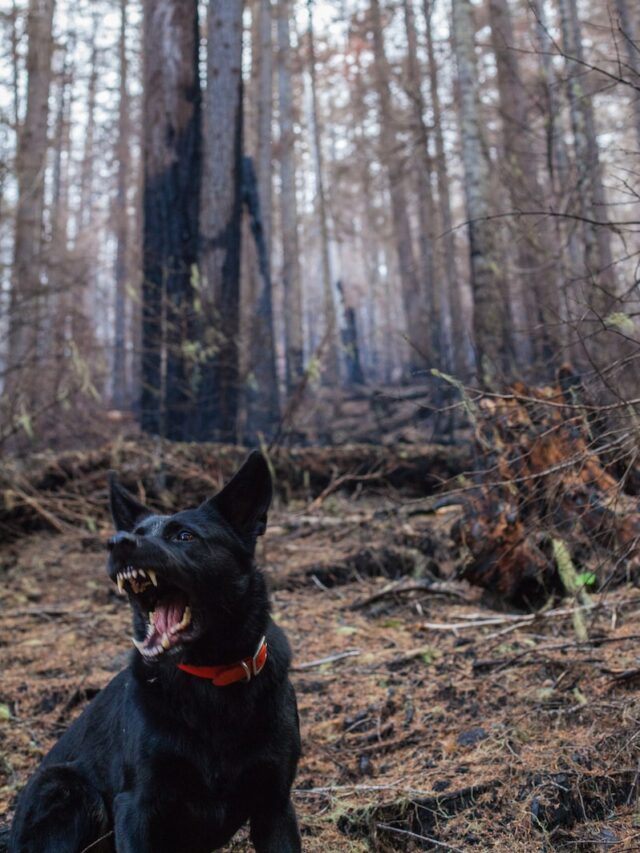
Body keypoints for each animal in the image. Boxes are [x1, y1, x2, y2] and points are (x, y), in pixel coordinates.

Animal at [5, 450, 302, 848]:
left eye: (184, 536)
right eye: (137, 533)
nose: (117, 541)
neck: (210, 679)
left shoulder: (275, 806)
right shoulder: (137, 805)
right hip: (68, 789)